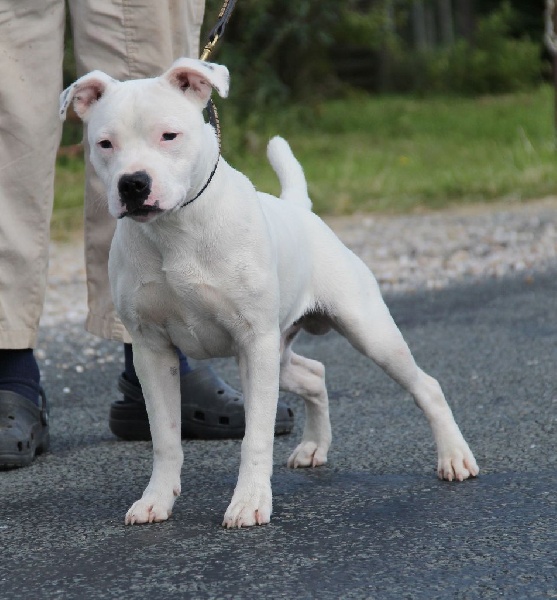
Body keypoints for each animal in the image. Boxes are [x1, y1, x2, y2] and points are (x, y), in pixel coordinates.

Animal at [60, 59, 478, 528]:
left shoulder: (253, 342)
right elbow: (165, 438)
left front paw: (249, 501)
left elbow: (255, 435)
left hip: (365, 332)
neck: (175, 230)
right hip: (278, 353)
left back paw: (454, 457)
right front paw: (156, 499)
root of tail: (300, 209)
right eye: (105, 143)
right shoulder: (153, 351)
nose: (133, 184)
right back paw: (314, 445)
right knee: (315, 375)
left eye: (169, 135)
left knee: (426, 385)